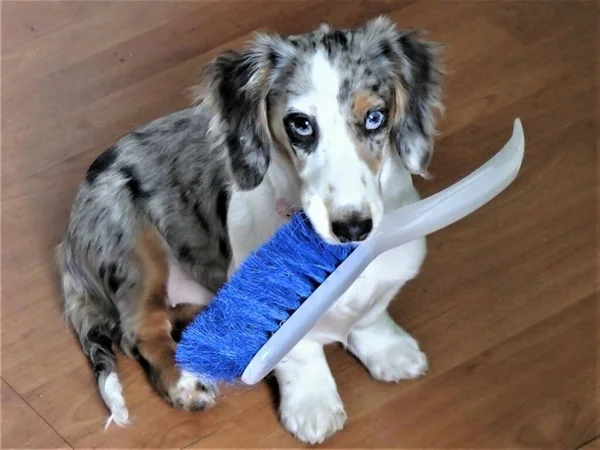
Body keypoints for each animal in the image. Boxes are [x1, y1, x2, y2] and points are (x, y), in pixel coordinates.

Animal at [57, 16, 440, 442]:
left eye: (375, 117)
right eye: (300, 125)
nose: (353, 228)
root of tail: (68, 240)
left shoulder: (394, 264)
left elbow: (370, 314)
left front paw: (388, 352)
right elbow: (296, 351)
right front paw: (313, 407)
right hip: (137, 251)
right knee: (141, 329)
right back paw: (185, 383)